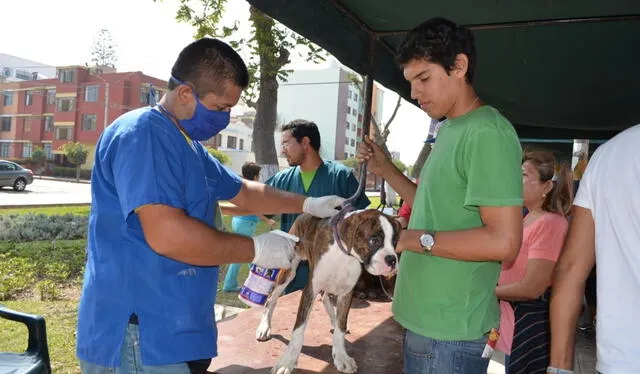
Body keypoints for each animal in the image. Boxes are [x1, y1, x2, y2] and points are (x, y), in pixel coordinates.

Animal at [255, 209, 400, 372]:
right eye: (374, 240)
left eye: (395, 241)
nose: (392, 260)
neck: (344, 255)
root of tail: (303, 215)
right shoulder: (310, 290)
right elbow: (298, 330)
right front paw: (287, 362)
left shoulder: (346, 293)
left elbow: (340, 328)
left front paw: (341, 356)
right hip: (289, 271)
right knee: (271, 299)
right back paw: (264, 327)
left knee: (325, 299)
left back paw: (333, 320)